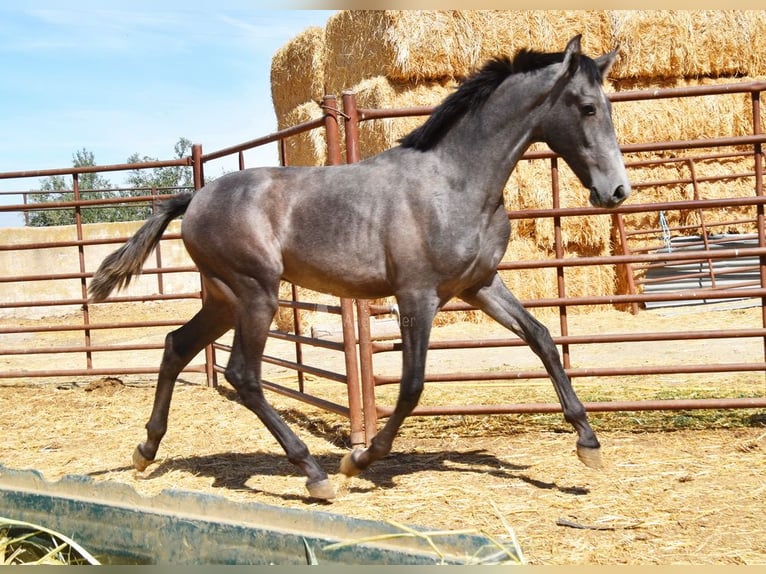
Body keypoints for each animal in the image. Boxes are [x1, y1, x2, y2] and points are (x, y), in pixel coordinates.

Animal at [90, 36, 632, 502]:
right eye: (587, 107)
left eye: (608, 107)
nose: (616, 191)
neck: (454, 183)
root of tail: (194, 198)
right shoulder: (417, 295)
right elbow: (412, 385)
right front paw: (360, 460)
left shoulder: (479, 286)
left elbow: (542, 339)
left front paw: (588, 444)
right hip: (254, 293)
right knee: (242, 374)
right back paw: (314, 474)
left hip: (225, 300)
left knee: (176, 346)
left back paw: (145, 452)